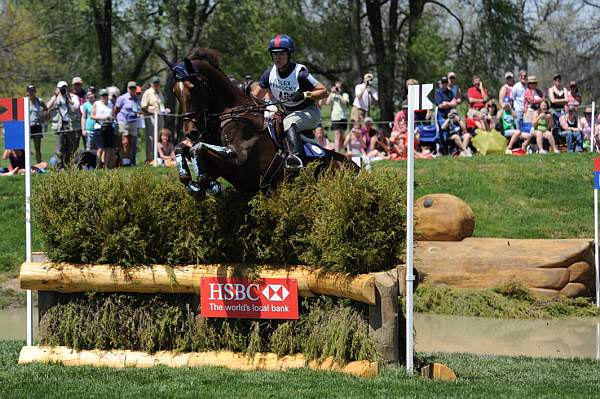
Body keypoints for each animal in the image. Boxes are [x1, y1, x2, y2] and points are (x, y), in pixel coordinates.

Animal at [161, 47, 356, 200]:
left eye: (193, 89)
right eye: (175, 91)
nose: (190, 132)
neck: (233, 113)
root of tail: (356, 168)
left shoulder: (243, 165)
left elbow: (198, 148)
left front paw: (210, 187)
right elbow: (182, 149)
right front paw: (193, 184)